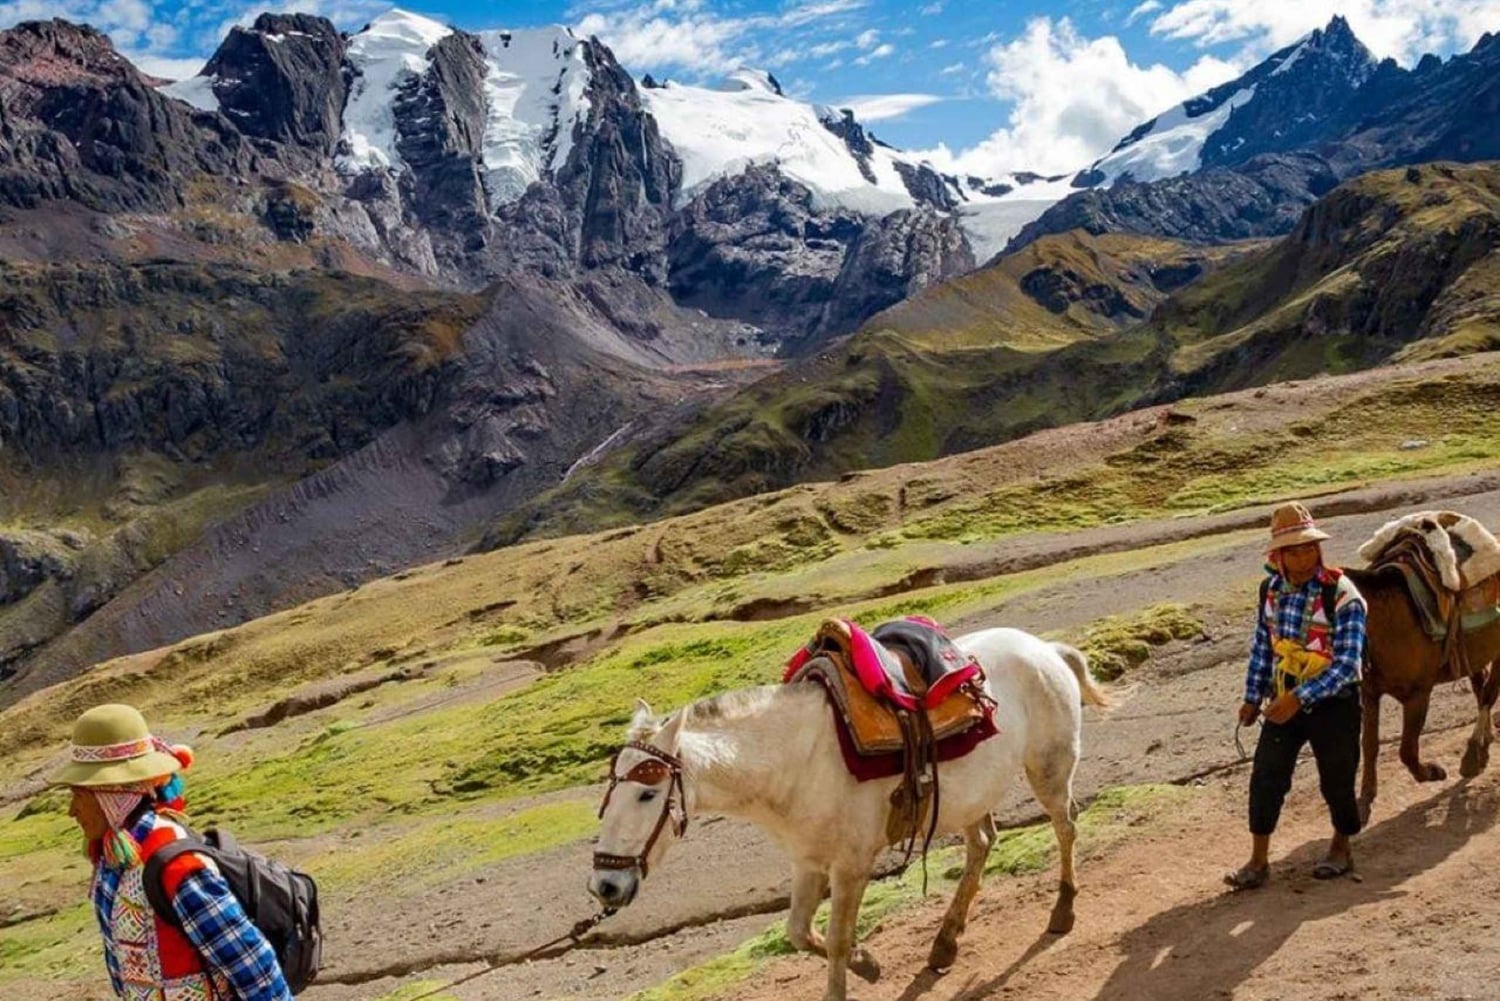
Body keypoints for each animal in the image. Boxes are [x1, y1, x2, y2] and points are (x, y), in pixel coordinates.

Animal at [588, 627, 1108, 1001]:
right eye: (607, 797)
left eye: (647, 795)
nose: (605, 886)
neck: (798, 761)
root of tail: (1046, 648)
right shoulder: (807, 862)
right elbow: (799, 933)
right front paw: (869, 963)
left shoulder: (851, 864)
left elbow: (837, 937)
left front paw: (856, 964)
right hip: (971, 797)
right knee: (982, 845)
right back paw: (945, 943)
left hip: (1049, 771)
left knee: (1065, 825)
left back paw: (1062, 912)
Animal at [1345, 566, 1500, 824]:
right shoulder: (1370, 694)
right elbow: (1369, 745)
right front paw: (1365, 800)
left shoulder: (1418, 695)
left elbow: (1407, 750)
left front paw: (1433, 772)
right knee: (1482, 688)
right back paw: (1483, 747)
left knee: (1489, 692)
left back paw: (1472, 754)